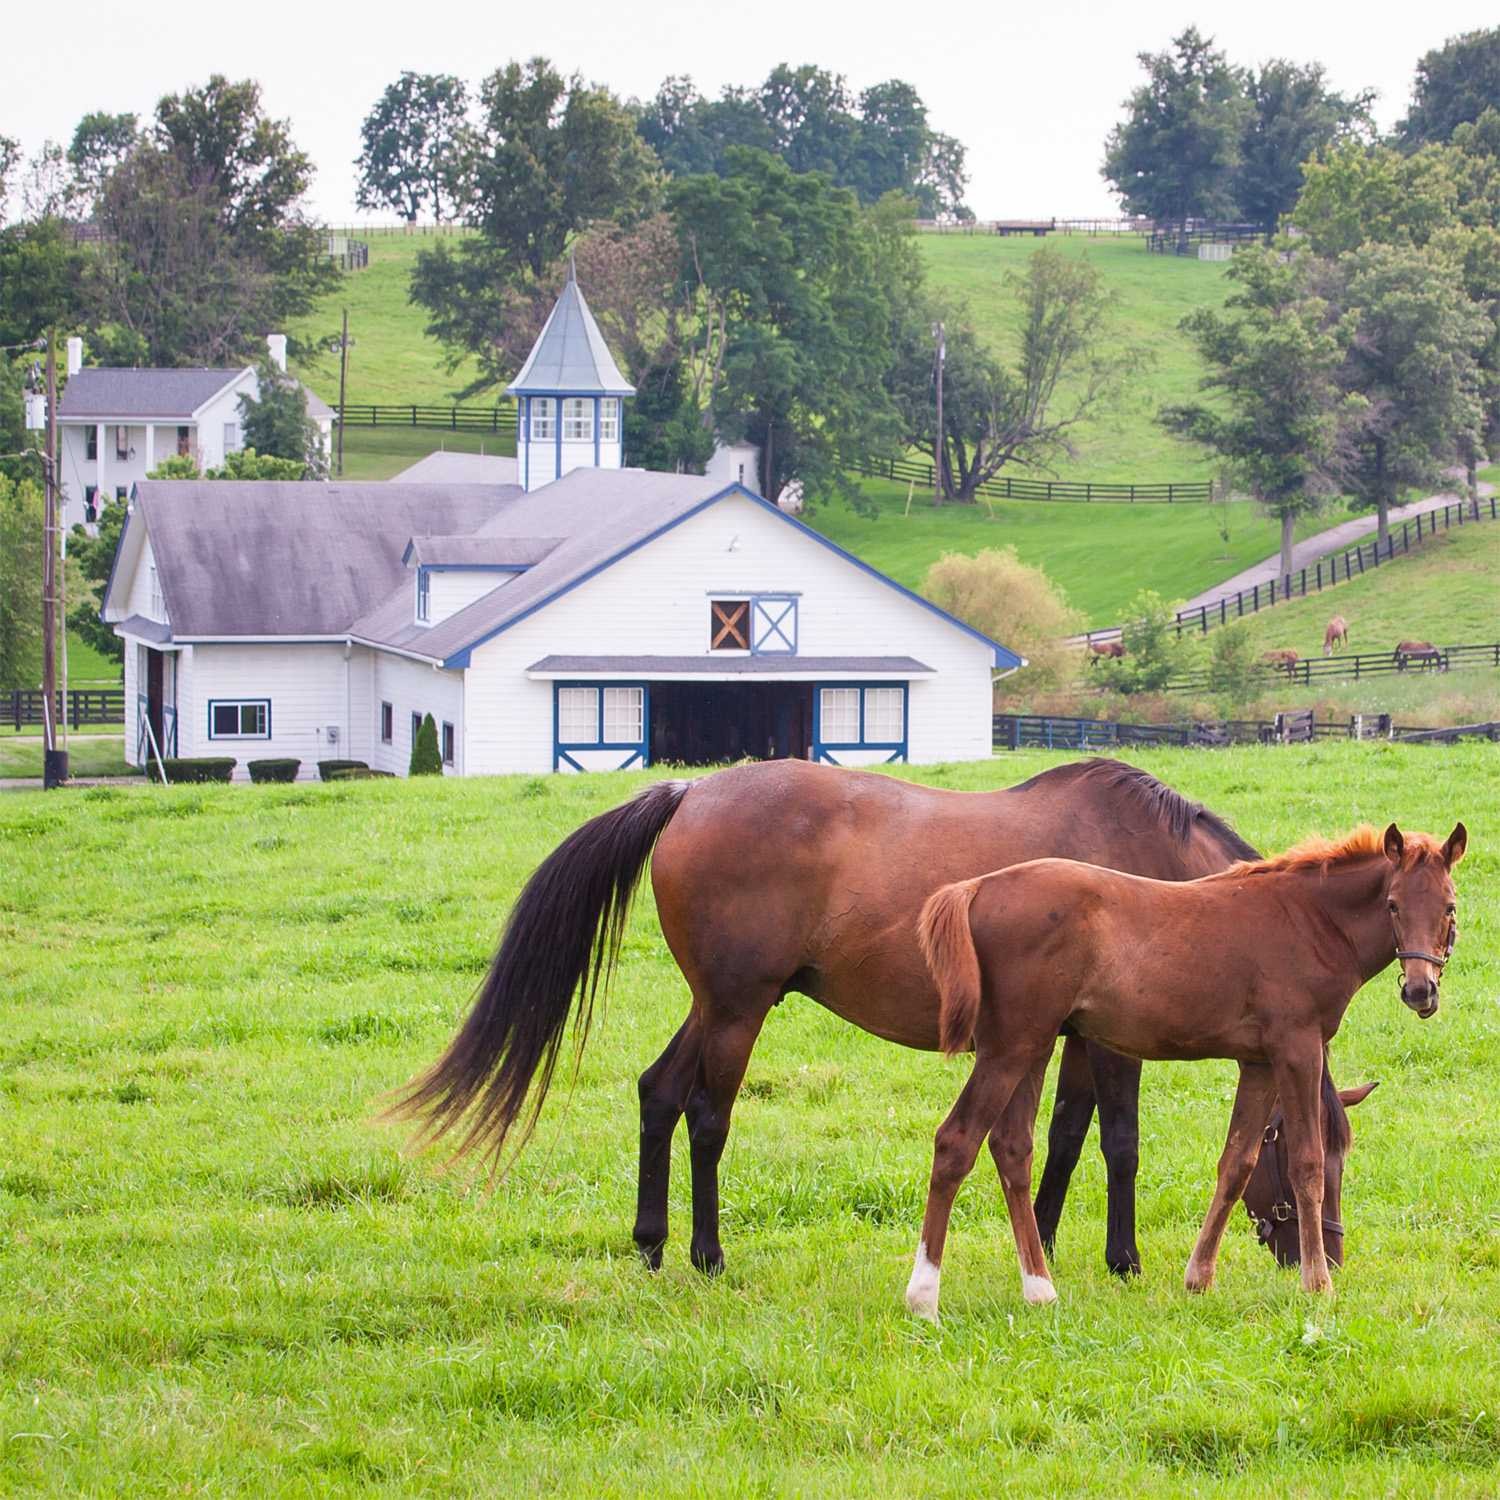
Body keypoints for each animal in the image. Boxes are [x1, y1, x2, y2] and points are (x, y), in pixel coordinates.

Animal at [388, 757, 1297, 1280]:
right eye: (1292, 1148)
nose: (1302, 1251)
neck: (1159, 868)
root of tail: (690, 792)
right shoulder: (1116, 1042)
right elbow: (1120, 1145)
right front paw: (1123, 1260)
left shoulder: (1070, 1036)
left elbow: (1068, 1136)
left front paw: (1040, 1240)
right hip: (738, 1010)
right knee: (706, 1115)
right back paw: (707, 1255)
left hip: (717, 1005)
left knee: (657, 1093)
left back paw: (651, 1243)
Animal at [909, 820, 1465, 1318]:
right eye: (1392, 904)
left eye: (1449, 906)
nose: (1421, 991)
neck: (1309, 921)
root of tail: (976, 888)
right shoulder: (1298, 1048)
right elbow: (1305, 1163)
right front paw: (1317, 1285)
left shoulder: (1259, 1063)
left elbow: (1236, 1163)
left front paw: (1199, 1278)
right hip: (1009, 1048)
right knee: (956, 1140)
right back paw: (924, 1298)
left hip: (1033, 1047)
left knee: (1011, 1149)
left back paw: (1039, 1290)